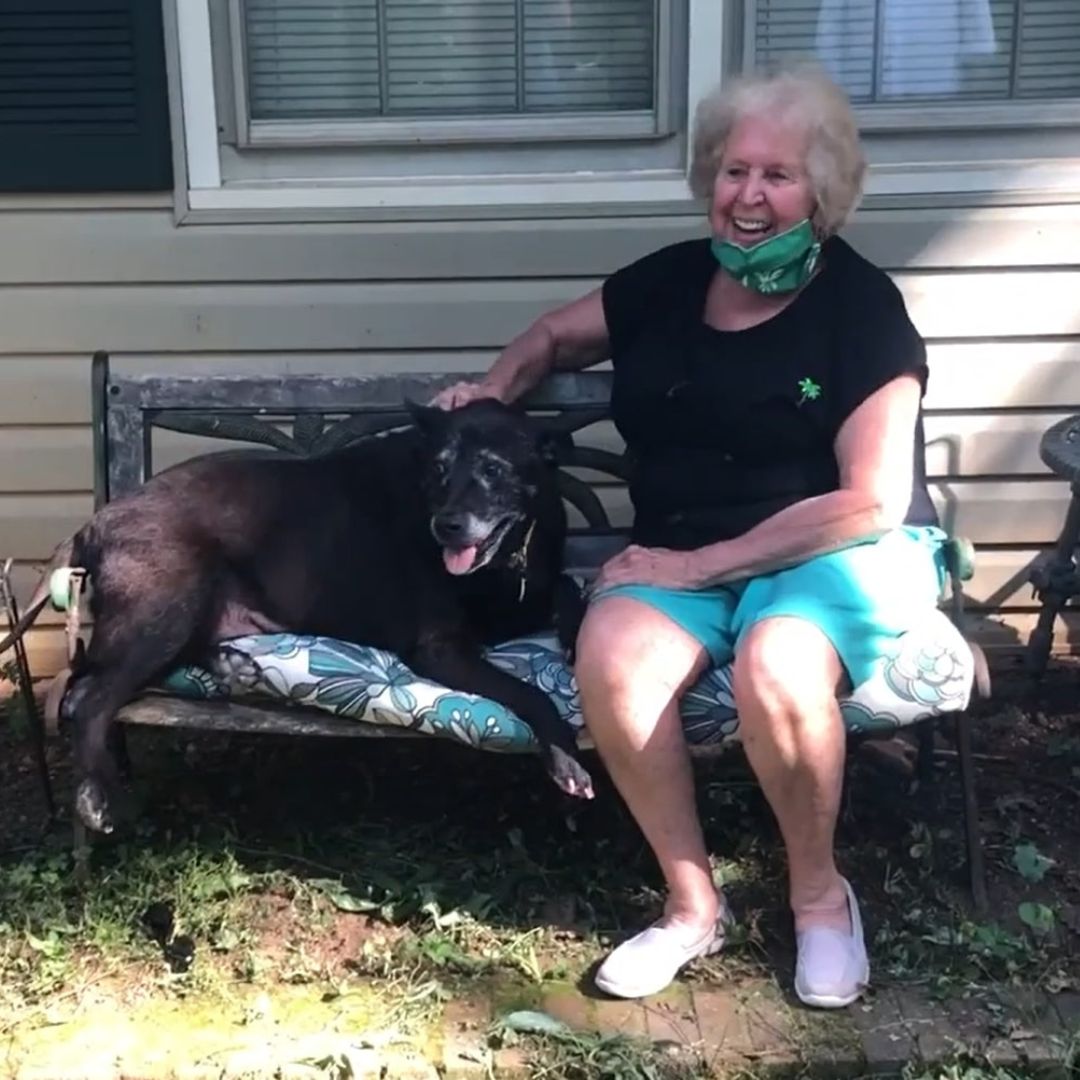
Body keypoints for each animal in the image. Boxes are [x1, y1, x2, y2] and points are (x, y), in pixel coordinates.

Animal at [2, 401, 591, 829]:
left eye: (493, 469)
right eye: (439, 469)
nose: (446, 525)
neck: (509, 554)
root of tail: (91, 523)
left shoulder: (522, 601)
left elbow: (567, 589)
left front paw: (574, 633)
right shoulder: (441, 647)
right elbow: (526, 691)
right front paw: (565, 754)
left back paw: (228, 665)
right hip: (165, 603)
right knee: (88, 695)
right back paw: (97, 794)